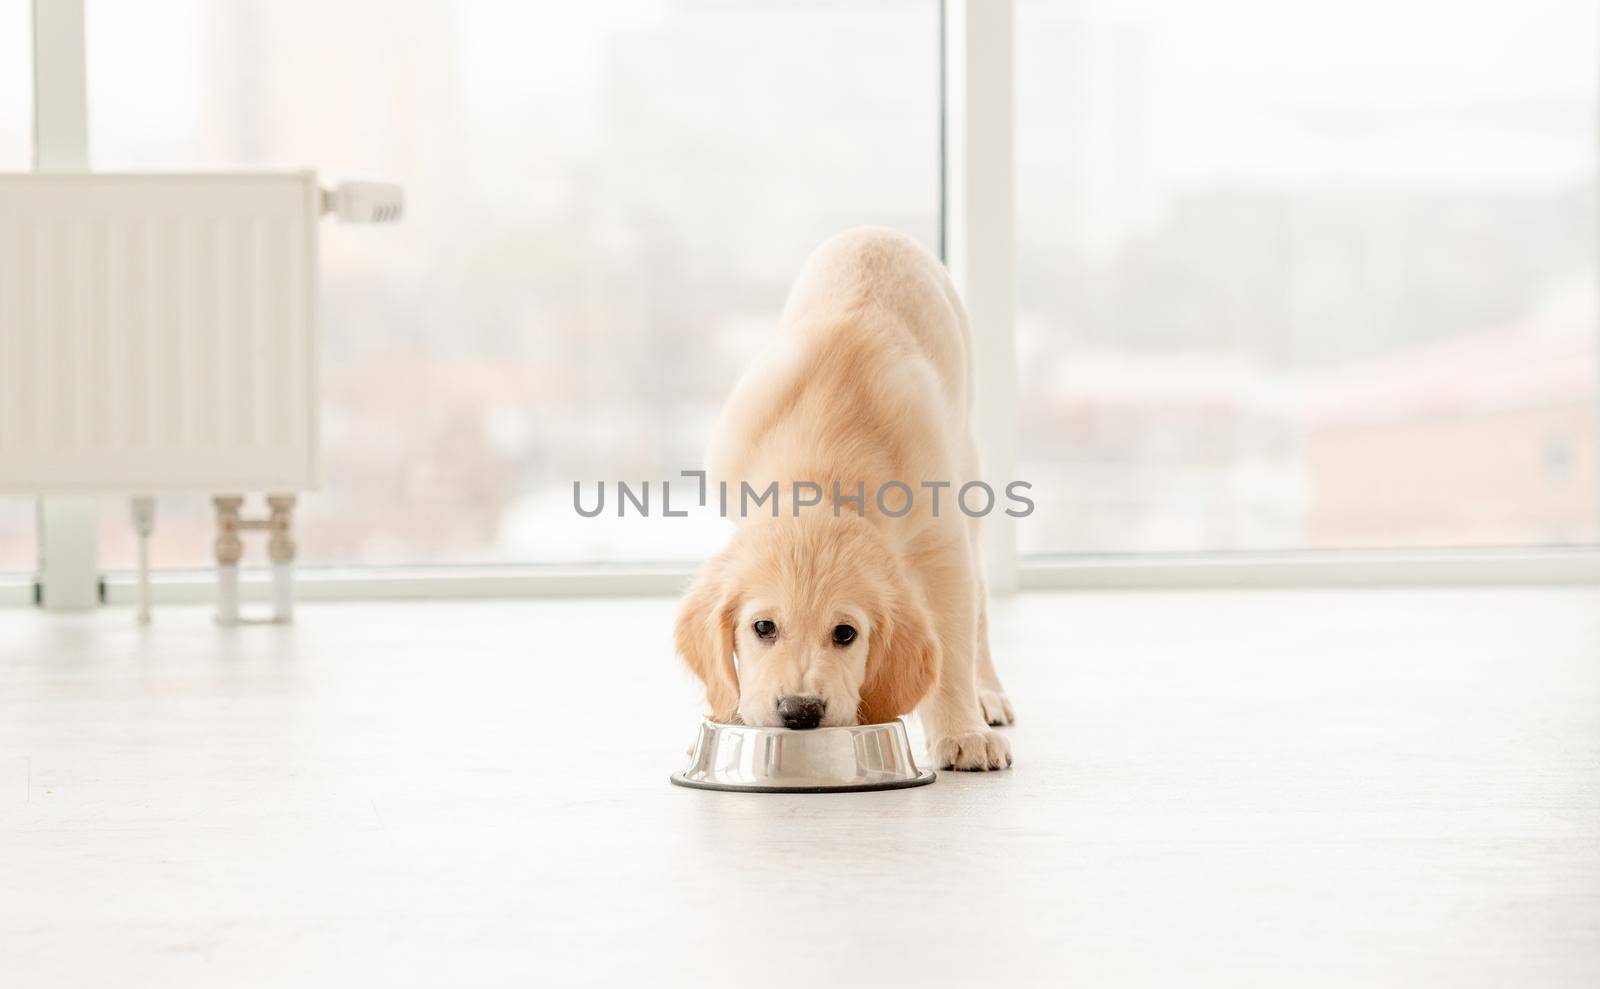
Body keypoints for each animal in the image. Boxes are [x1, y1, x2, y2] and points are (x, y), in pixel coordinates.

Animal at [675, 225, 1011, 771]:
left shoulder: (940, 543)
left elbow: (953, 642)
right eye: (763, 627)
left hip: (966, 462)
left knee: (979, 602)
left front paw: (963, 731)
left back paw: (987, 695)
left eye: (846, 634)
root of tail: (877, 230)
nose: (800, 711)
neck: (820, 470)